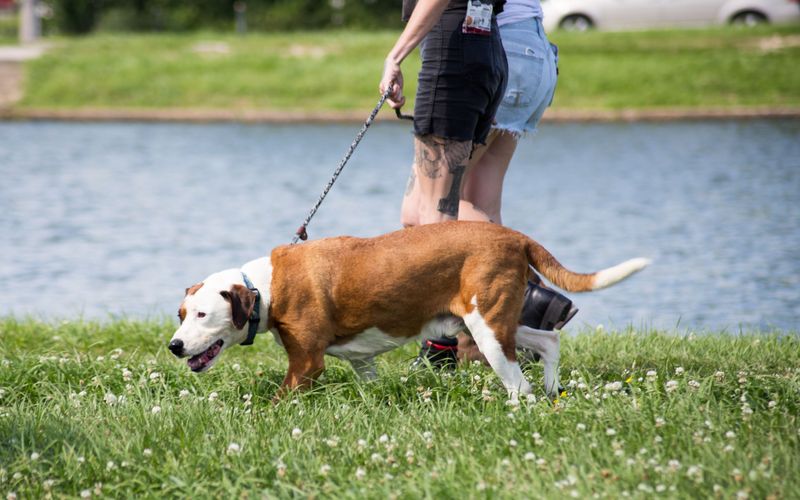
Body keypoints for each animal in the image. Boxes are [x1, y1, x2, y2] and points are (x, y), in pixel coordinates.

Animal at [169, 221, 648, 400]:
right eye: (180, 313)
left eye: (203, 315)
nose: (173, 346)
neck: (265, 288)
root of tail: (513, 235)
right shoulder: (361, 361)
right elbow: (368, 381)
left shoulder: (306, 363)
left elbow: (279, 399)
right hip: (486, 322)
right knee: (548, 340)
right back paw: (552, 389)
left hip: (488, 331)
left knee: (518, 384)